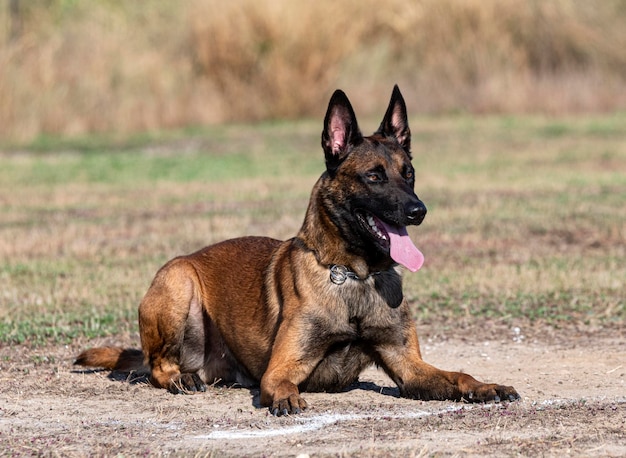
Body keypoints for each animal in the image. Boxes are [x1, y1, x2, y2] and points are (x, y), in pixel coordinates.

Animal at [77, 86, 516, 416]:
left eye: (408, 174)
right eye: (374, 176)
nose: (418, 210)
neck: (352, 275)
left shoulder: (409, 367)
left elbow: (458, 376)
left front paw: (485, 386)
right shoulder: (280, 369)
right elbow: (282, 384)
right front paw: (287, 400)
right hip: (178, 281)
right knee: (156, 365)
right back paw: (178, 378)